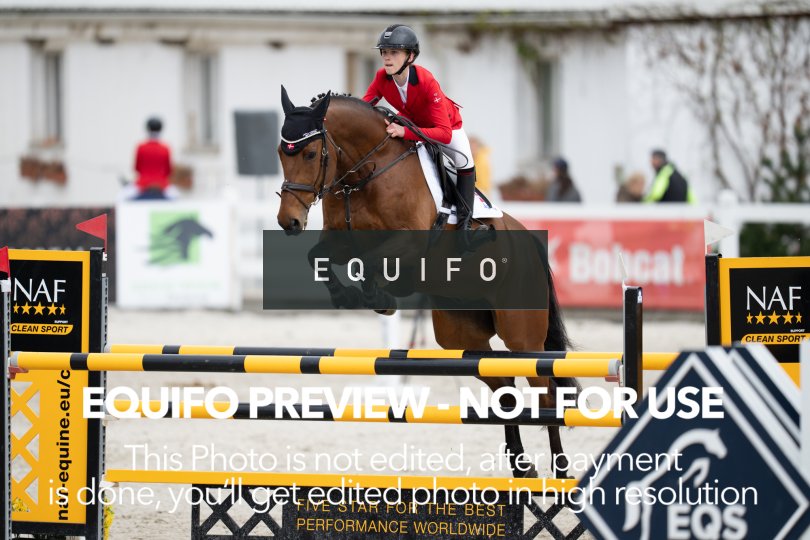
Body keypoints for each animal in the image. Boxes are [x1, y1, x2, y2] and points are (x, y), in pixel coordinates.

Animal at [276, 86, 576, 479]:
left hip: (522, 336)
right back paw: (522, 466)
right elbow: (320, 258)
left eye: (310, 153)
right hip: (461, 336)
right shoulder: (338, 241)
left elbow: (373, 263)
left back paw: (561, 470)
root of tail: (529, 242)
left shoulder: (409, 243)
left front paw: (381, 299)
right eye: (281, 152)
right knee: (506, 389)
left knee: (547, 391)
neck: (365, 171)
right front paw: (347, 295)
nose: (289, 221)